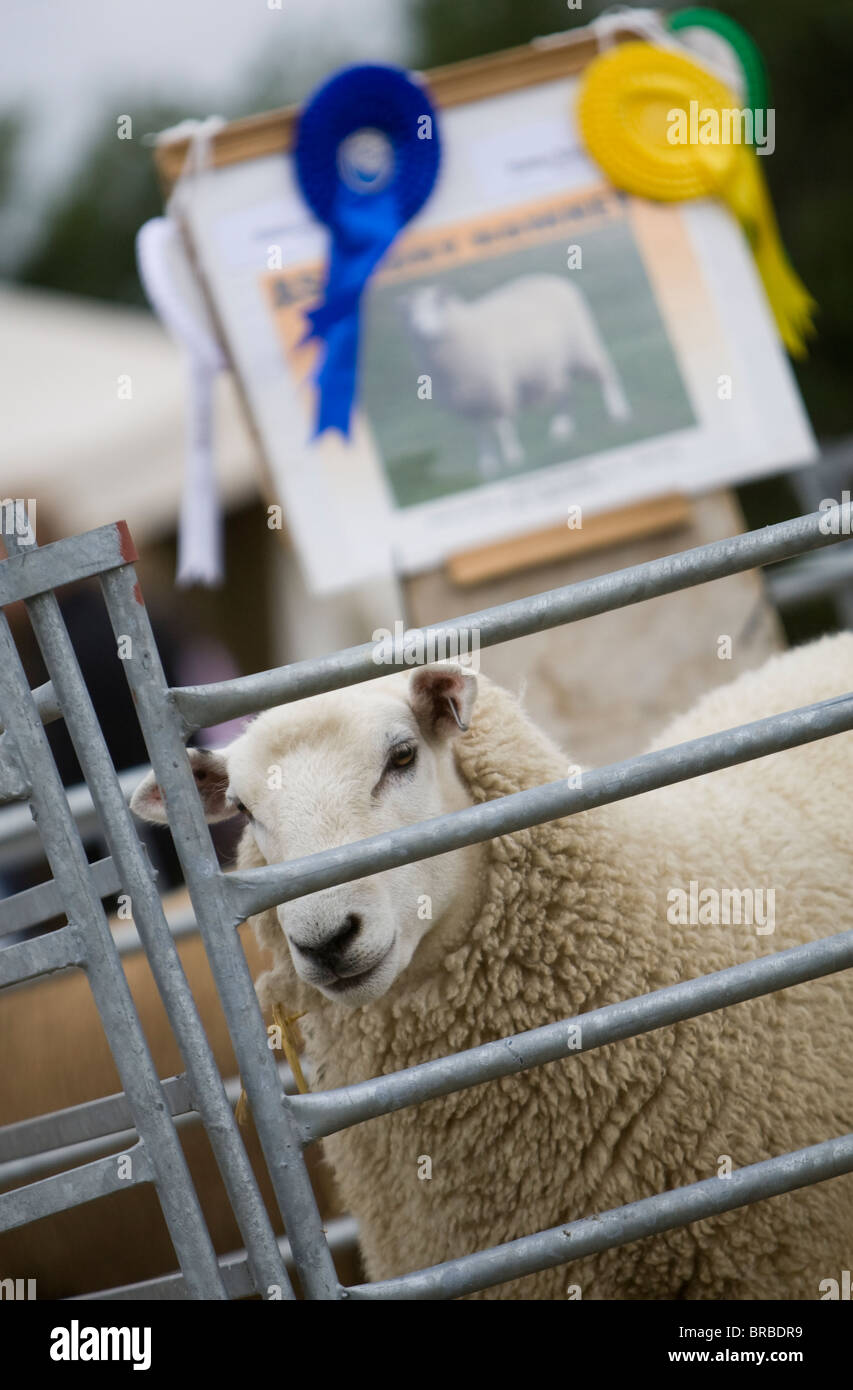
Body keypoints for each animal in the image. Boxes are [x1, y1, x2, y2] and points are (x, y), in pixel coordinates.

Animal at [397, 273, 630, 480]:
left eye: (436, 304)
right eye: (409, 313)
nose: (420, 330)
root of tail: (554, 279)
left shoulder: (499, 389)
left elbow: (503, 428)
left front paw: (513, 458)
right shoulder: (469, 404)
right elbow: (481, 435)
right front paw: (487, 466)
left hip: (582, 347)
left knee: (606, 376)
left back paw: (618, 413)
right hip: (556, 364)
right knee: (565, 393)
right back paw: (562, 430)